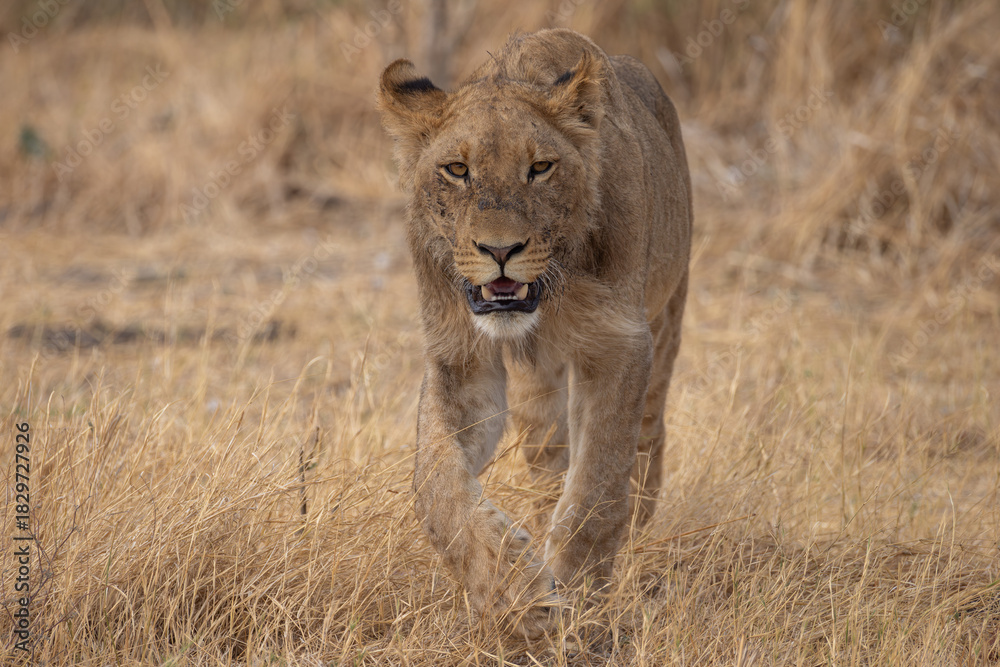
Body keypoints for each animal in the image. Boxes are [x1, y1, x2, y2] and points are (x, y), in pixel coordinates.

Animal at [377, 28, 691, 638]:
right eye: (457, 169)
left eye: (541, 167)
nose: (500, 251)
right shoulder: (460, 357)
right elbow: (435, 482)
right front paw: (511, 591)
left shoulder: (619, 342)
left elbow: (597, 487)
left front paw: (577, 598)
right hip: (536, 386)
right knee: (548, 461)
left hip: (668, 314)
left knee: (647, 440)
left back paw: (637, 536)